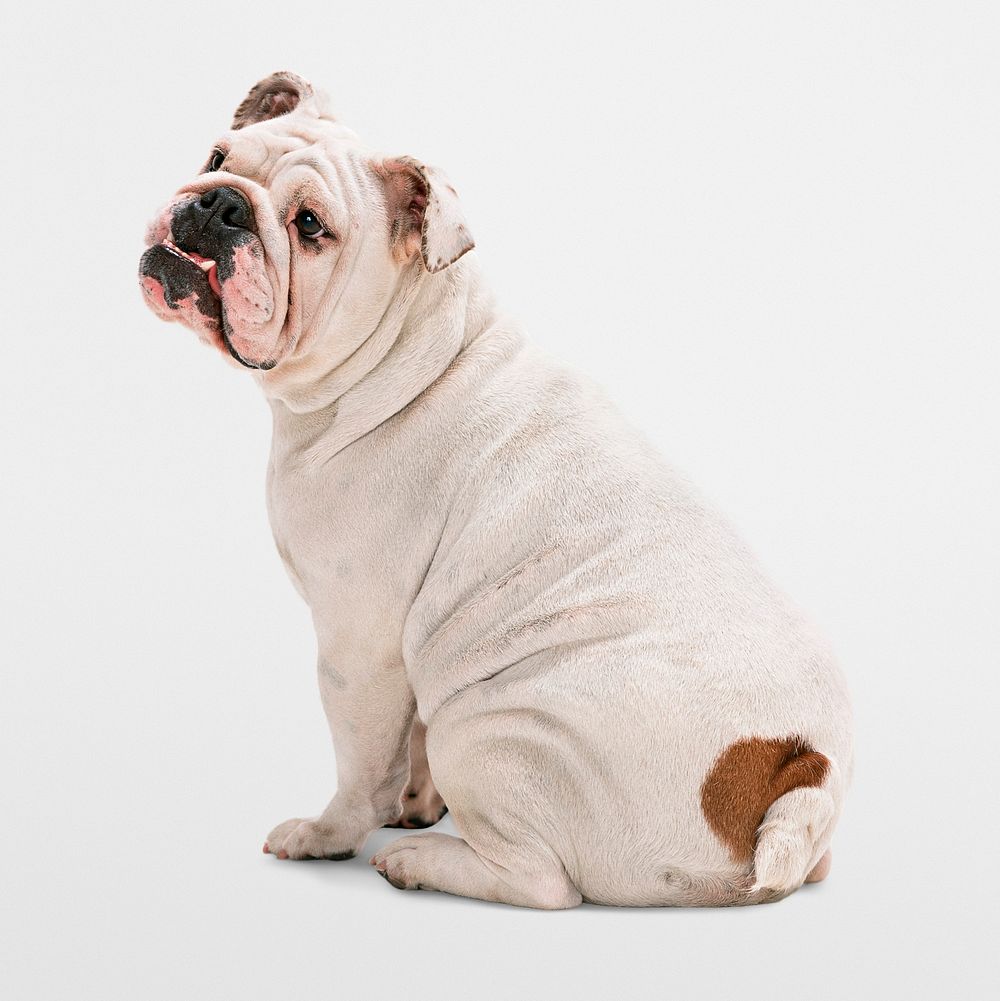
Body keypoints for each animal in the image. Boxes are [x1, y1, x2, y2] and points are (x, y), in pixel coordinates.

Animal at [137, 70, 852, 908]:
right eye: (218, 156)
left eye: (311, 225)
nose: (219, 203)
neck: (407, 359)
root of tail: (797, 777)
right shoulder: (409, 653)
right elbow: (404, 747)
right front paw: (414, 803)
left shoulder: (358, 644)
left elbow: (360, 765)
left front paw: (327, 834)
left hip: (488, 727)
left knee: (543, 882)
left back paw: (419, 862)